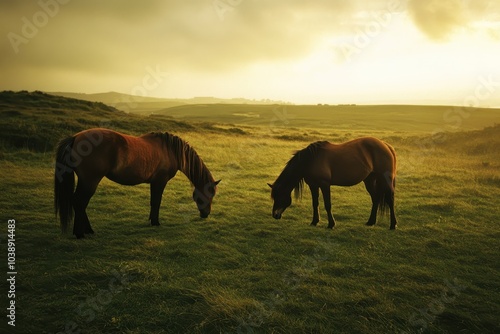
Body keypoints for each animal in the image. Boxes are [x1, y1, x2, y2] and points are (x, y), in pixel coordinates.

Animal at [53, 126, 220, 239]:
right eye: (210, 194)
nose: (206, 214)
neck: (170, 150)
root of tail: (75, 138)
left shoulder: (154, 182)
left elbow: (153, 202)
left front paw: (152, 221)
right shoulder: (160, 181)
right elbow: (156, 202)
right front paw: (156, 222)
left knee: (80, 203)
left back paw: (87, 231)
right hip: (90, 181)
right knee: (79, 202)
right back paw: (81, 233)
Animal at [268, 136, 400, 230]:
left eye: (280, 196)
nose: (275, 215)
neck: (311, 160)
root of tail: (386, 145)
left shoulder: (324, 184)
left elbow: (327, 204)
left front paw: (331, 224)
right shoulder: (313, 185)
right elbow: (315, 203)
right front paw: (314, 222)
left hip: (385, 179)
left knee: (389, 199)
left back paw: (393, 225)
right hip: (369, 180)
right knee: (375, 198)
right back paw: (371, 222)